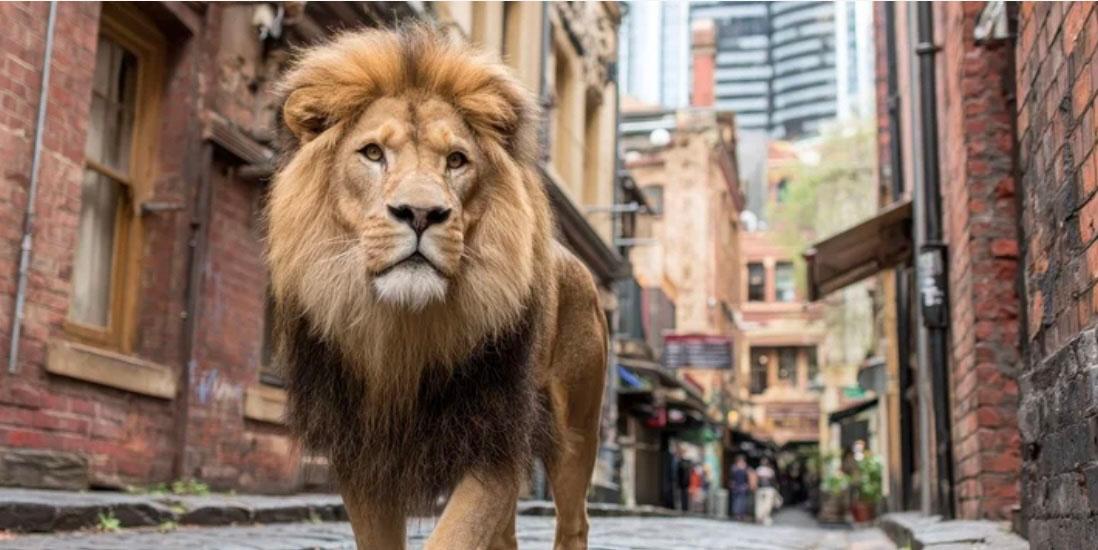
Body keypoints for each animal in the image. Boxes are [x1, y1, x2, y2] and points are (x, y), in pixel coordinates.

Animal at [265, 26, 608, 550]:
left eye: (457, 160)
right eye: (372, 153)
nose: (422, 213)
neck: (405, 334)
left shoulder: (496, 434)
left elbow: (456, 535)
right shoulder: (363, 451)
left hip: (576, 431)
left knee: (575, 522)